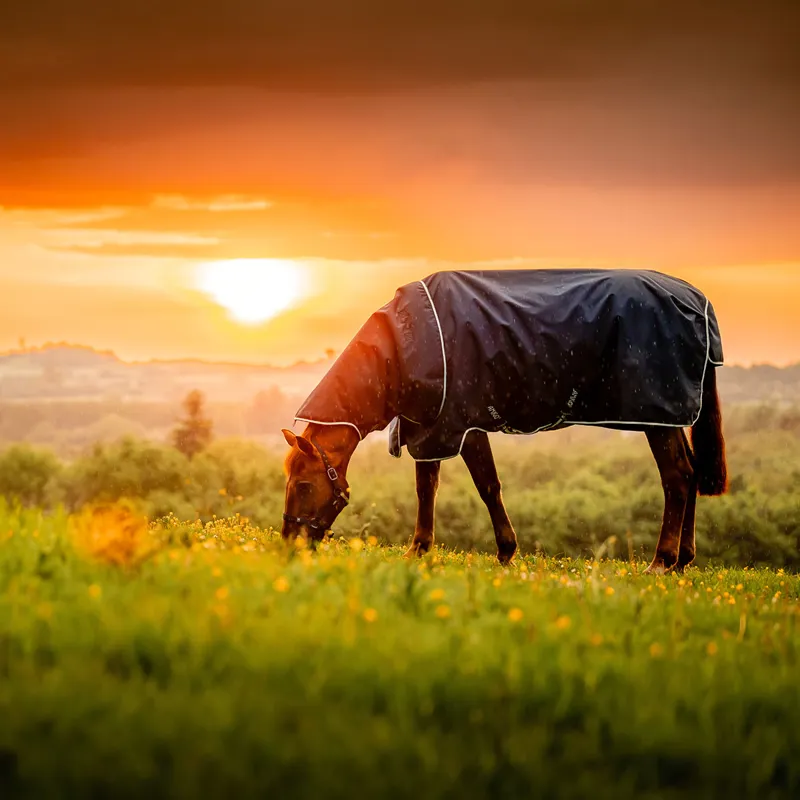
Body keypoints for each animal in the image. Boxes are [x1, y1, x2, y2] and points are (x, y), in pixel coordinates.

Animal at [281, 269, 728, 574]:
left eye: (302, 485)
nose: (289, 544)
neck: (403, 345)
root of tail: (697, 300)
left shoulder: (463, 424)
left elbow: (487, 486)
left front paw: (506, 551)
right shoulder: (431, 428)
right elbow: (426, 489)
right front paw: (419, 550)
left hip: (658, 416)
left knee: (676, 476)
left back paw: (662, 561)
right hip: (669, 419)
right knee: (690, 471)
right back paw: (682, 560)